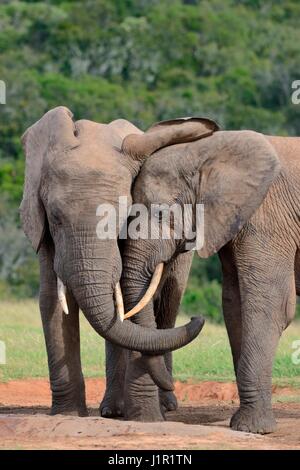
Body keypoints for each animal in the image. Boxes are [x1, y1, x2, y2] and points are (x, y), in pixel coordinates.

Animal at [106, 117, 300, 434]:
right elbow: (234, 304)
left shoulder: (268, 218)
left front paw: (251, 429)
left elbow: (270, 305)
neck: (207, 153)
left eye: (162, 213)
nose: (196, 318)